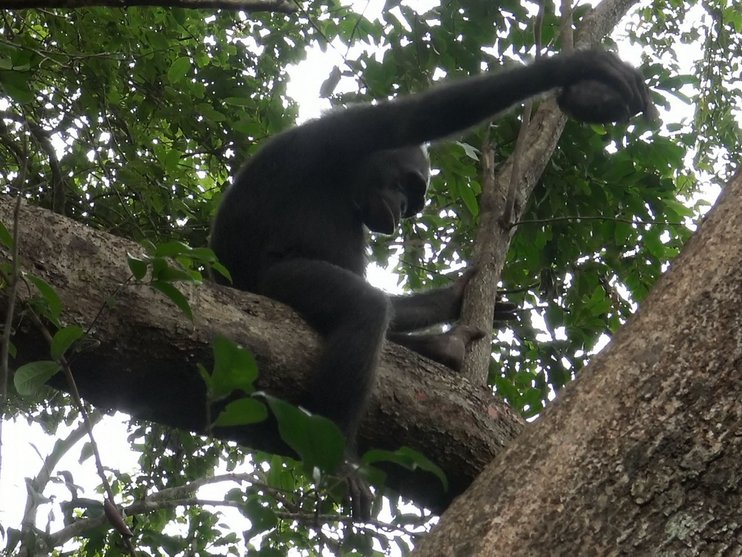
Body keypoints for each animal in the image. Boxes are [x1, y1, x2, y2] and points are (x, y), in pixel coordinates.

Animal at [212, 47, 652, 516]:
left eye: (413, 199)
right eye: (407, 186)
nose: (405, 207)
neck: (347, 179)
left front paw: (454, 299)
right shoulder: (344, 133)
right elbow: (418, 117)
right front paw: (583, 64)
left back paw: (445, 346)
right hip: (270, 283)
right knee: (364, 308)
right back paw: (344, 458)